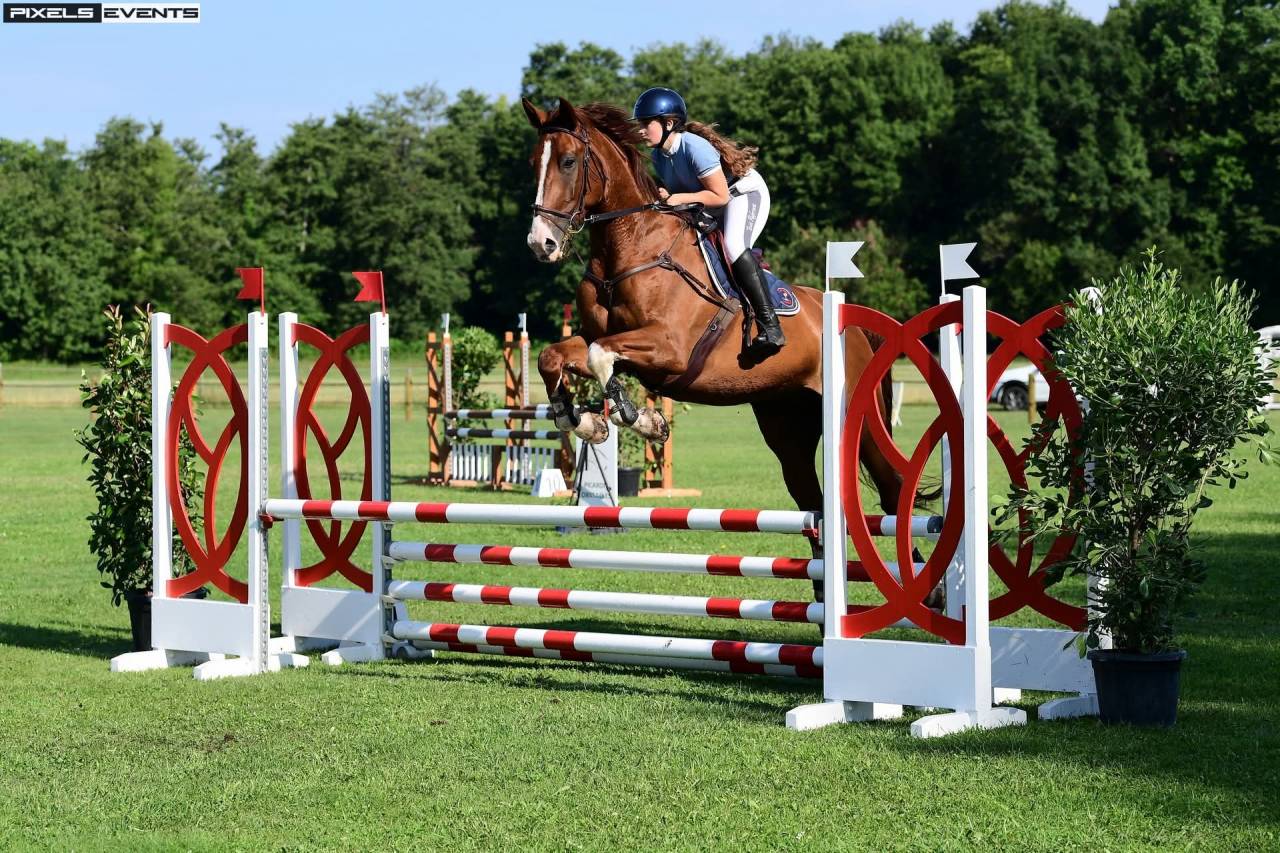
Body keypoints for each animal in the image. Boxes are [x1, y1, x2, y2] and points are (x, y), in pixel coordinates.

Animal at [522, 97, 915, 591]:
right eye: (533, 162)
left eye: (569, 162)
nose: (541, 243)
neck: (630, 248)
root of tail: (857, 327)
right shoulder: (607, 341)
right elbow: (555, 355)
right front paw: (587, 422)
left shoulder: (667, 349)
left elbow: (600, 357)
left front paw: (641, 419)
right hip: (787, 423)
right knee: (814, 502)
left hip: (855, 420)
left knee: (893, 489)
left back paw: (931, 591)